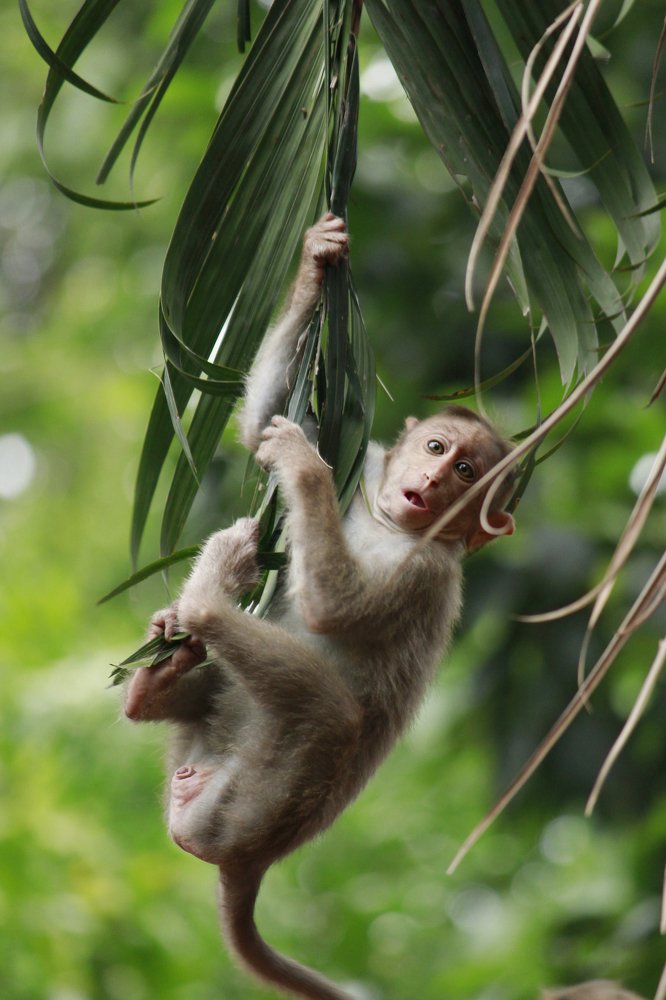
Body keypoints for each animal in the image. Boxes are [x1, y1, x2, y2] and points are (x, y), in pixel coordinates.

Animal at [124, 213, 516, 1000]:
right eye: (435, 447)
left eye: (466, 470)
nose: (431, 482)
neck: (395, 524)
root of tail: (245, 862)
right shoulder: (369, 465)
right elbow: (263, 428)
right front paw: (317, 258)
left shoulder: (428, 573)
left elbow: (336, 610)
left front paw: (303, 467)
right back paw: (160, 674)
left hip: (251, 806)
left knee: (330, 712)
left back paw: (209, 597)